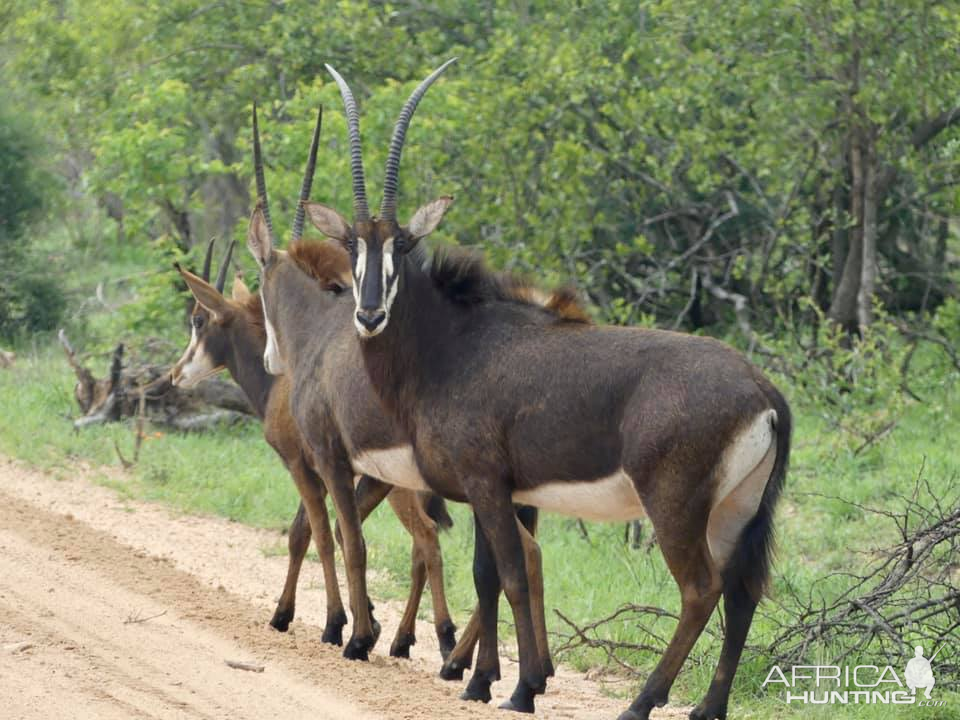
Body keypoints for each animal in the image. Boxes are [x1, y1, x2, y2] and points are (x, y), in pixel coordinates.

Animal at [170, 115, 462, 660]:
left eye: (198, 320)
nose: (176, 374)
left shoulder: (305, 462)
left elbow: (312, 534)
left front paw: (313, 619)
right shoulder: (337, 471)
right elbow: (335, 535)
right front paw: (361, 619)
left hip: (395, 482)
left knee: (427, 539)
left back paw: (435, 639)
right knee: (436, 541)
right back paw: (417, 640)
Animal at [302, 62, 796, 720]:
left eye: (402, 245)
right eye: (352, 245)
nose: (370, 314)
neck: (452, 345)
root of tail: (763, 390)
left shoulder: (486, 484)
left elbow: (509, 576)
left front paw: (516, 689)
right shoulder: (493, 491)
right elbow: (487, 574)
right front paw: (485, 681)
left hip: (676, 505)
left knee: (700, 589)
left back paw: (642, 702)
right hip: (738, 507)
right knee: (743, 591)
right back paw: (706, 709)